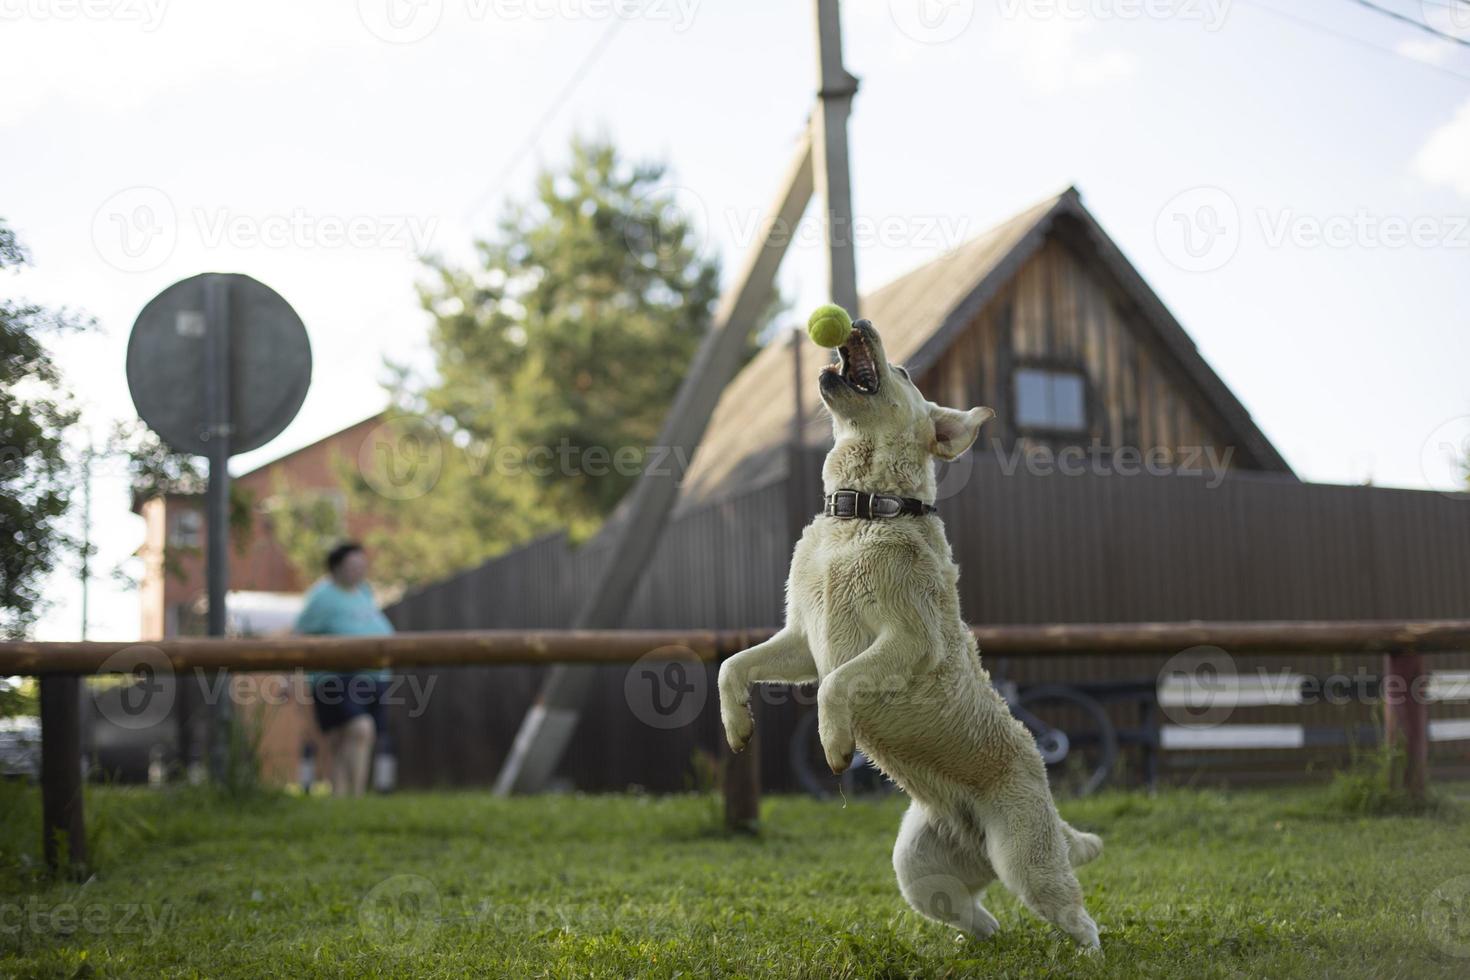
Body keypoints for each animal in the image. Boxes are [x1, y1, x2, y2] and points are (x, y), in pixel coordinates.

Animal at [717, 320, 1105, 952]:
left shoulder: (908, 642)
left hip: (1027, 863)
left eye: (900, 371)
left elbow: (837, 686)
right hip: (918, 869)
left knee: (1077, 915)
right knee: (981, 917)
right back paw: (973, 946)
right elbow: (733, 665)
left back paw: (1088, 955)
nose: (859, 324)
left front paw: (834, 745)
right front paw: (738, 727)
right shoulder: (800, 640)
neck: (863, 511)